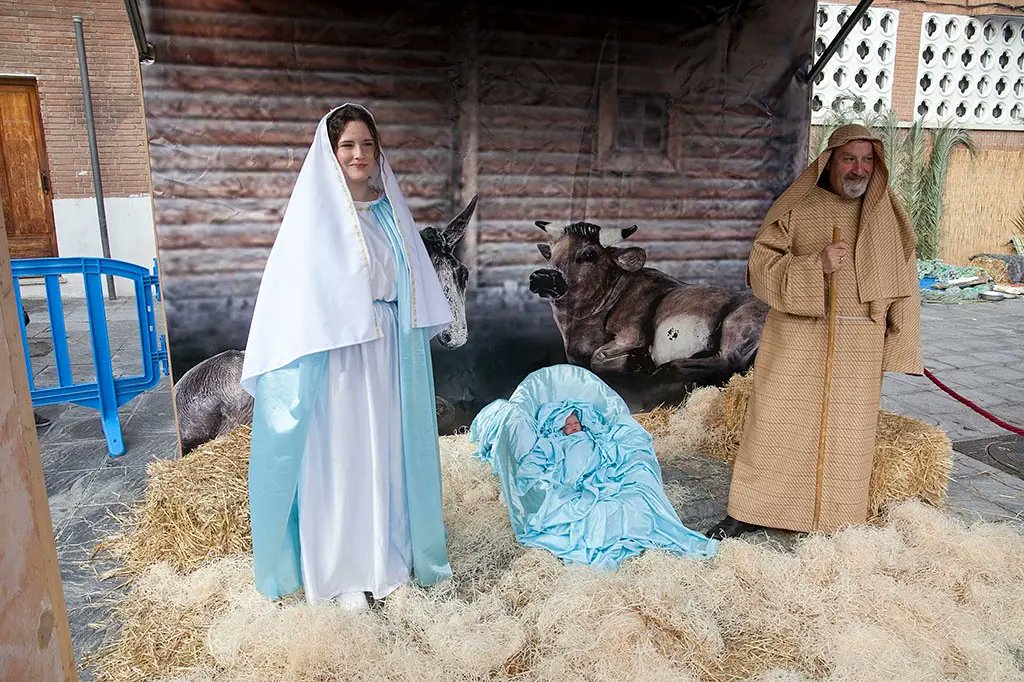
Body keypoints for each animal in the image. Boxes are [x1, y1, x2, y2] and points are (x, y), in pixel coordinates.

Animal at [532, 220, 765, 385]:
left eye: (589, 253)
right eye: (551, 251)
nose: (542, 276)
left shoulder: (632, 336)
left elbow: (597, 358)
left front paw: (635, 361)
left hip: (736, 326)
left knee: (727, 363)